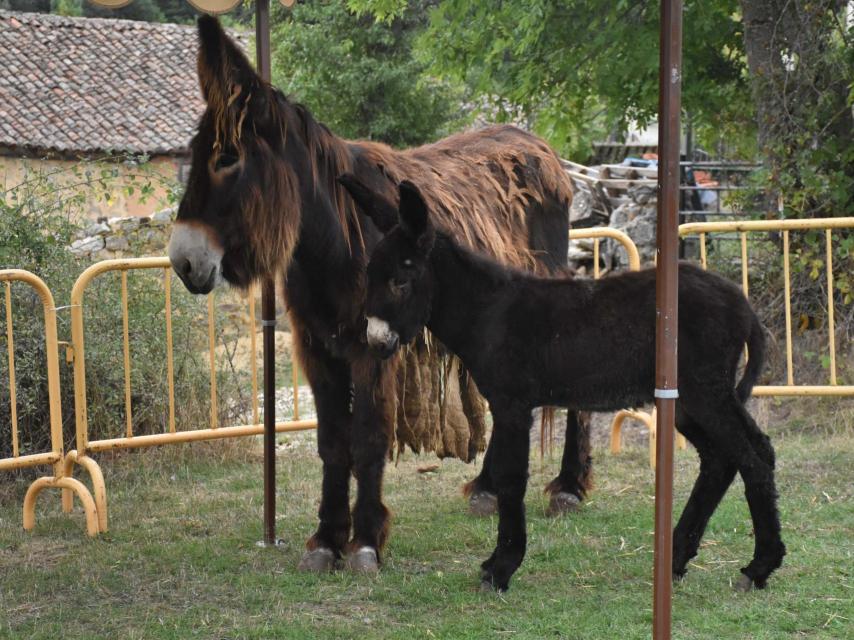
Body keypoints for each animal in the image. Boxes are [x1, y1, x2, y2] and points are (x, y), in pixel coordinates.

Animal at [342, 176, 788, 596]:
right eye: (369, 276)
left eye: (400, 280)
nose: (376, 343)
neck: (488, 312)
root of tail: (742, 304)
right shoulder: (507, 404)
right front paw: (499, 563)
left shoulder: (512, 404)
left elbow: (510, 477)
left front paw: (500, 568)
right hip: (689, 402)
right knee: (723, 458)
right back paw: (678, 559)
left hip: (705, 391)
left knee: (752, 457)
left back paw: (758, 567)